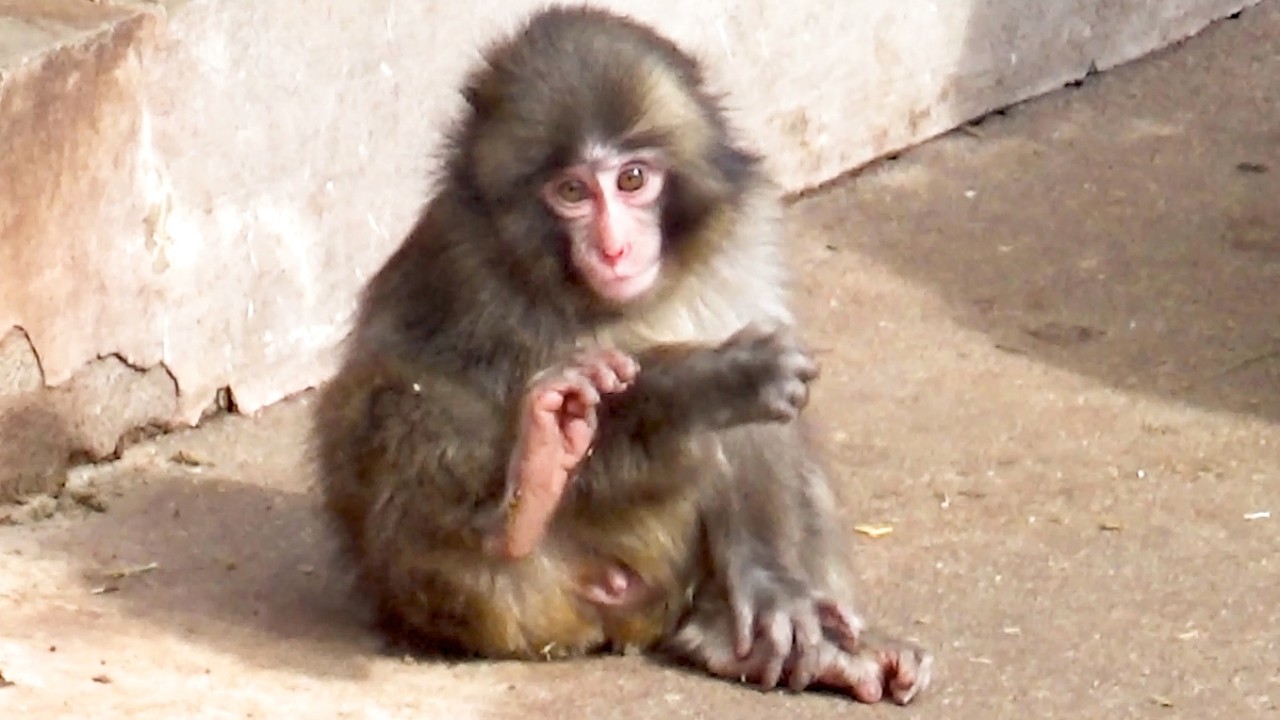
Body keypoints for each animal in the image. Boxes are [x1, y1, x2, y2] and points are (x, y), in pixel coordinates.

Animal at [313, 5, 932, 705]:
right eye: (571, 192)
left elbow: (765, 425)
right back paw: (526, 493)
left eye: (632, 179)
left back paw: (738, 639)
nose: (613, 248)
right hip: (493, 597)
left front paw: (773, 583)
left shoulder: (744, 238)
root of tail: (607, 622)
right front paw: (711, 380)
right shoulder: (466, 269)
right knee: (391, 398)